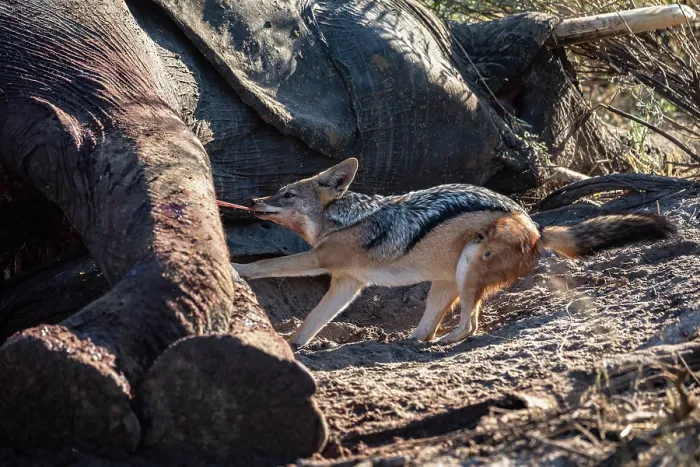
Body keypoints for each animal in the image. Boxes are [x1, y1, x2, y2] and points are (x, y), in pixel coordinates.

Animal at [0, 0, 623, 463]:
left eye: (285, 195)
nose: (253, 202)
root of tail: (538, 233)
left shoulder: (332, 260)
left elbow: (284, 266)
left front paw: (251, 283)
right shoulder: (346, 276)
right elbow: (319, 309)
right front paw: (298, 345)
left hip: (473, 257)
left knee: (469, 319)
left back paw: (442, 341)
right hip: (447, 269)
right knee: (440, 309)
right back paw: (411, 340)